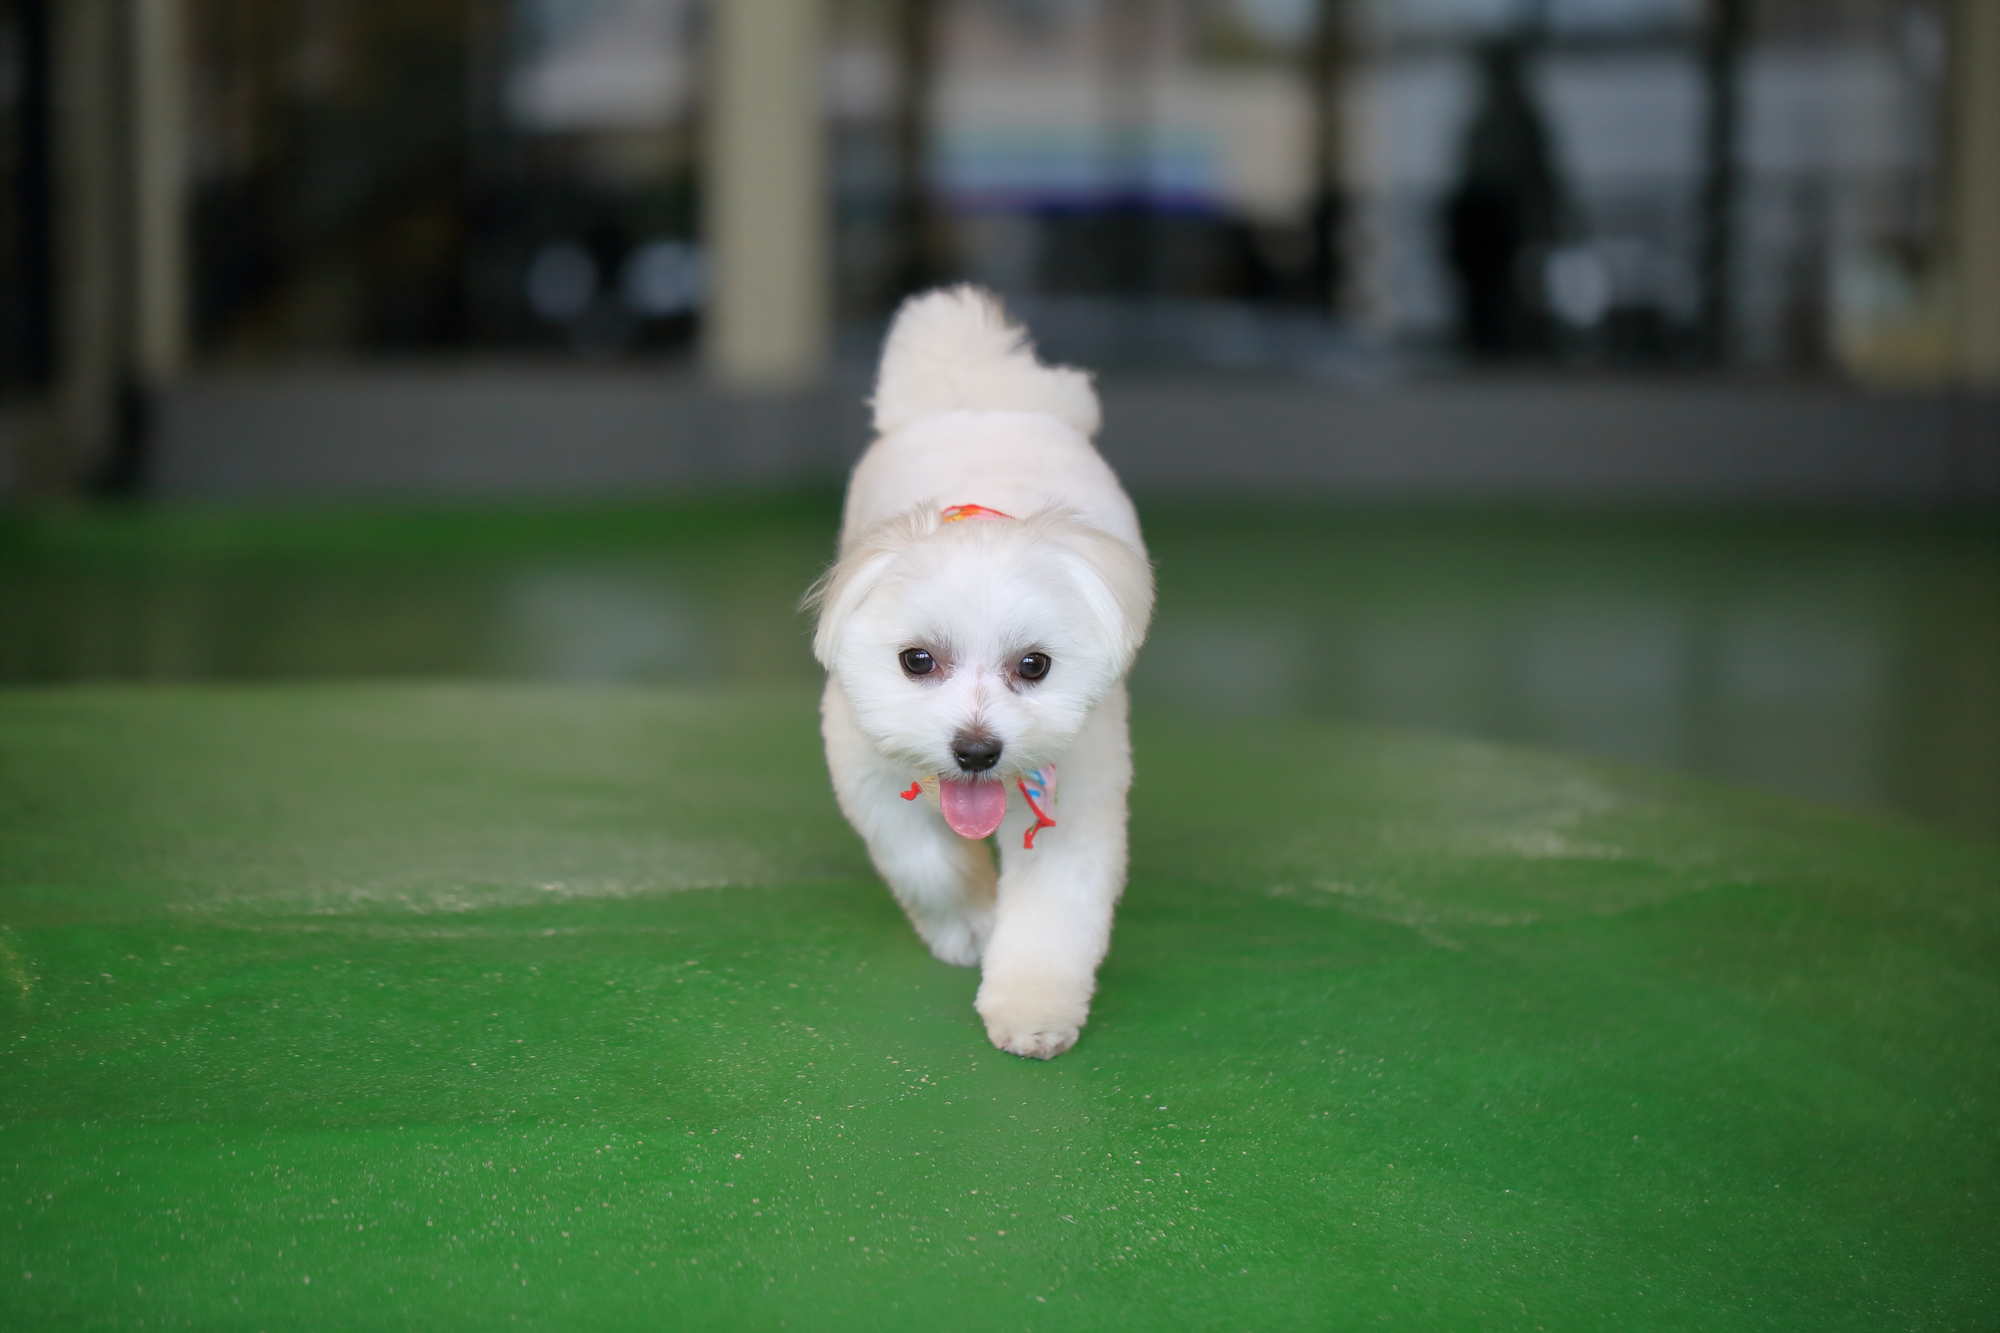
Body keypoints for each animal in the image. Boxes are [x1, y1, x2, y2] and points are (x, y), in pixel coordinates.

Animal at [808, 286, 1160, 1056]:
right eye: (916, 660)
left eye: (1034, 665)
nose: (975, 751)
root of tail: (977, 394)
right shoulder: (865, 767)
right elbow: (924, 860)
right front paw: (971, 924)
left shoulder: (1074, 791)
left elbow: (1054, 912)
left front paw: (1032, 1009)